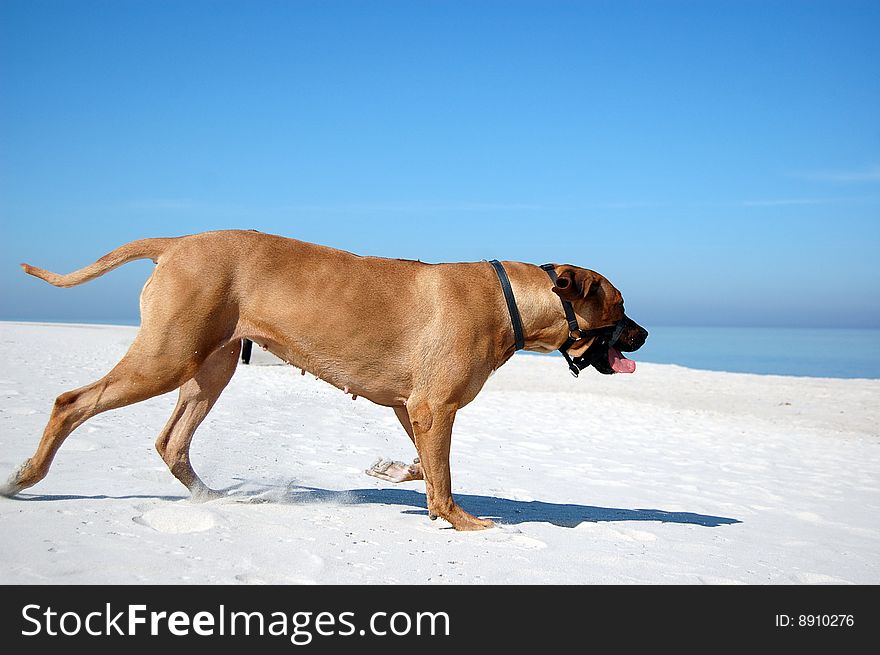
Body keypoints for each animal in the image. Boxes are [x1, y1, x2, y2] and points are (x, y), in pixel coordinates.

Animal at [0, 233, 648, 532]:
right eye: (619, 306)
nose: (643, 334)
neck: (511, 301)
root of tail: (176, 242)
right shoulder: (435, 405)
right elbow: (441, 476)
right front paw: (459, 520)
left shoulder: (412, 406)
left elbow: (423, 463)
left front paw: (391, 471)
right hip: (165, 358)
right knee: (71, 401)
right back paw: (25, 477)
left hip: (209, 367)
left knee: (171, 440)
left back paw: (210, 495)